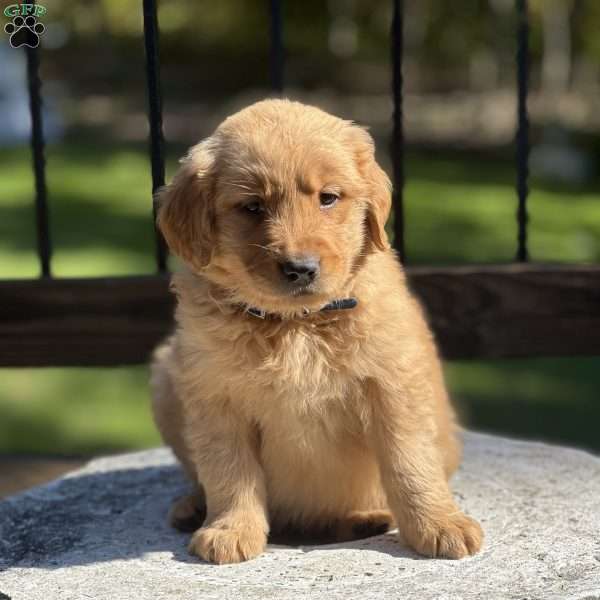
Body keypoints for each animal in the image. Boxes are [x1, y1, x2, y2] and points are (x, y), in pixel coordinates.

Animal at [151, 97, 482, 564]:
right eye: (253, 207)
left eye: (328, 198)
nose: (300, 268)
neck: (298, 324)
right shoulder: (214, 395)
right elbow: (228, 469)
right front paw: (231, 529)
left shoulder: (394, 384)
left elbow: (410, 459)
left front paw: (439, 523)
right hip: (166, 376)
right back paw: (193, 506)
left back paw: (368, 518)